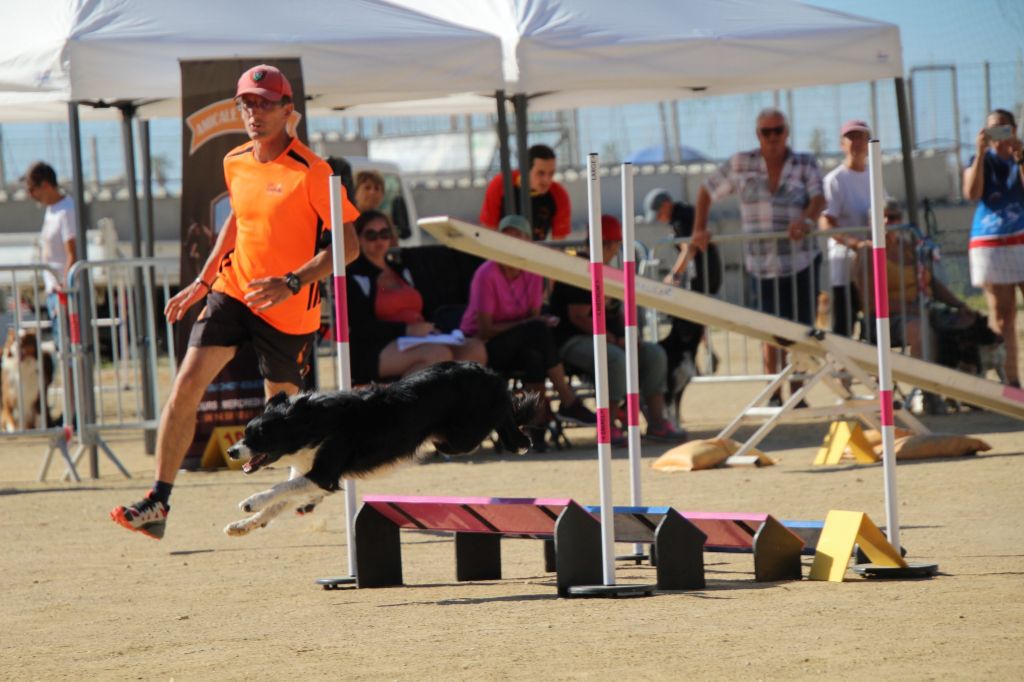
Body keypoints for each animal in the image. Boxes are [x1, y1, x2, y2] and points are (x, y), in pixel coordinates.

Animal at [223, 360, 540, 536]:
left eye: (258, 435)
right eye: (244, 433)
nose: (231, 452)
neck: (310, 424)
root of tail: (485, 370)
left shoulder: (324, 472)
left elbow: (278, 488)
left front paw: (250, 501)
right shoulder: (310, 474)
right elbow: (280, 501)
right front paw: (243, 526)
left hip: (459, 437)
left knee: (504, 408)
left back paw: (522, 441)